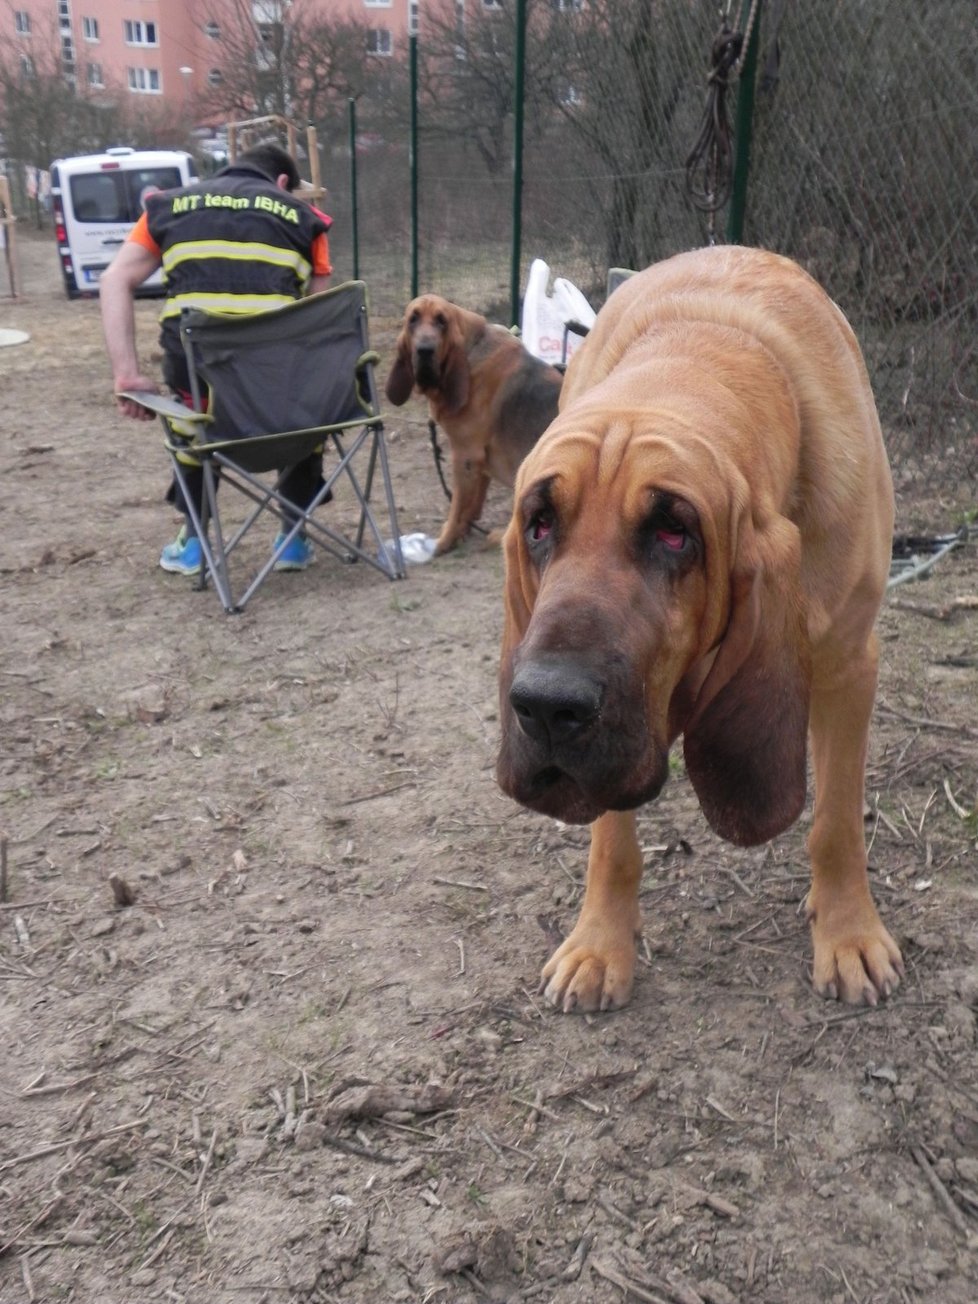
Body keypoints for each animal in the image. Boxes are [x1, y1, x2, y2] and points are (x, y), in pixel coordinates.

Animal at [385, 296, 563, 555]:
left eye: (442, 321)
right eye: (413, 319)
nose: (425, 350)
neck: (470, 352)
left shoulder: (464, 456)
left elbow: (457, 505)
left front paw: (444, 542)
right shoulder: (479, 460)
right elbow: (473, 500)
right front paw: (463, 530)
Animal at [492, 246, 907, 1017]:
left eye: (674, 533)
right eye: (539, 523)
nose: (546, 707)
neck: (702, 350)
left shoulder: (849, 666)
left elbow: (837, 823)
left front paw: (848, 935)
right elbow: (611, 843)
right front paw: (600, 944)